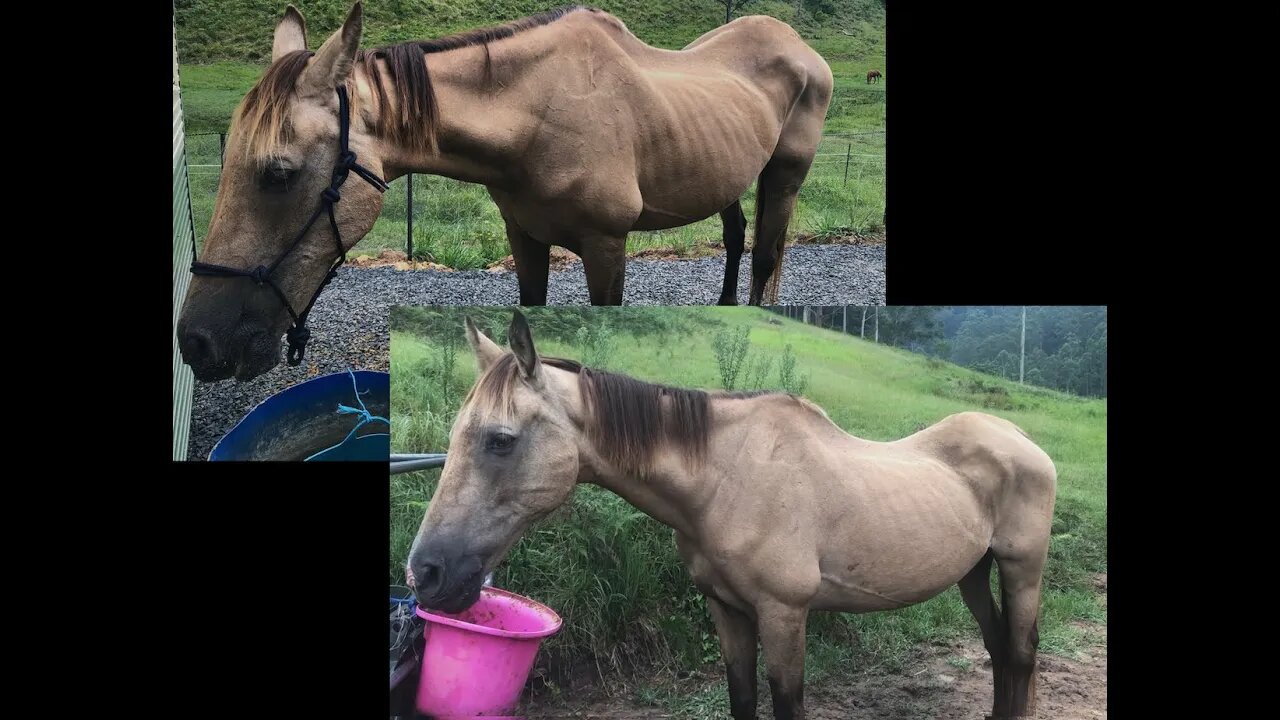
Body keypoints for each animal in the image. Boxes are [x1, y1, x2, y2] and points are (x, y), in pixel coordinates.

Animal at [175, 4, 834, 381]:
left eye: (278, 174)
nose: (197, 344)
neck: (540, 112)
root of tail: (800, 46)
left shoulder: (606, 246)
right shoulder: (526, 236)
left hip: (784, 176)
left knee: (767, 256)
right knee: (736, 239)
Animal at [404, 310, 1054, 717]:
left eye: (501, 440)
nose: (426, 573)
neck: (725, 481)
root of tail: (1018, 436)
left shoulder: (785, 614)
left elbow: (786, 702)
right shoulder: (728, 610)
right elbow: (741, 698)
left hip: (1021, 569)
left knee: (1021, 655)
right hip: (973, 572)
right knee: (999, 652)